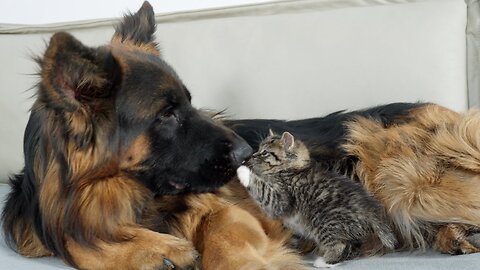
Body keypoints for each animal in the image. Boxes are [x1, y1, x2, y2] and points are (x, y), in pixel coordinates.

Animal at [0, 2, 308, 270]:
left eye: (189, 103)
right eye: (166, 114)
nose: (247, 154)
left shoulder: (224, 208)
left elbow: (224, 236)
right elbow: (76, 240)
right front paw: (152, 250)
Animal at [237, 131, 398, 268]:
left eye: (264, 152)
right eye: (259, 150)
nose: (251, 157)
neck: (290, 169)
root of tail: (370, 210)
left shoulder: (281, 199)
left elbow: (262, 188)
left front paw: (243, 170)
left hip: (325, 222)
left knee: (339, 245)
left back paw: (326, 261)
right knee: (352, 246)